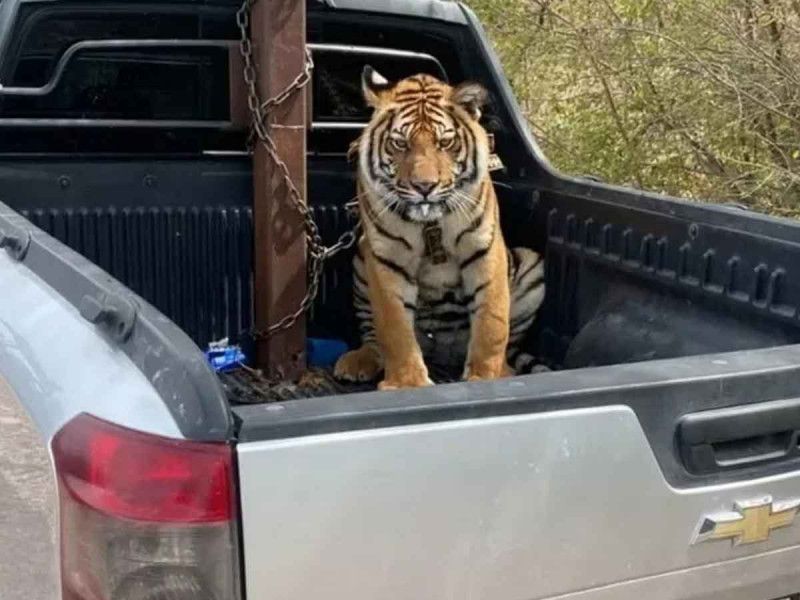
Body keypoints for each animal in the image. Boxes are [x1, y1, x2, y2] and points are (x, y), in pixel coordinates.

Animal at [334, 67, 545, 390]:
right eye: (400, 144)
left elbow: (492, 323)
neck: (429, 223)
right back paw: (359, 361)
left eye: (444, 143)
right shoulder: (386, 258)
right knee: (372, 336)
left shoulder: (484, 249)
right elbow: (394, 328)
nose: (424, 187)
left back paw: (506, 370)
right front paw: (407, 383)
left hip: (531, 264)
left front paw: (486, 377)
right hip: (360, 258)